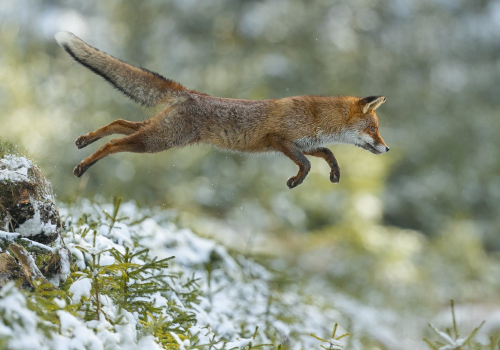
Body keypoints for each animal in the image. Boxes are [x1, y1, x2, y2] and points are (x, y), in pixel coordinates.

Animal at [55, 32, 390, 189]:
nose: (387, 148)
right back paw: (83, 166)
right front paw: (296, 181)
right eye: (373, 129)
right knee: (114, 143)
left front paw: (334, 173)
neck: (317, 118)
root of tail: (191, 93)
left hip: (159, 131)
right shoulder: (278, 140)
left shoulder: (303, 144)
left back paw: (85, 140)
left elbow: (328, 153)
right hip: (159, 141)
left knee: (118, 122)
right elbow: (307, 165)